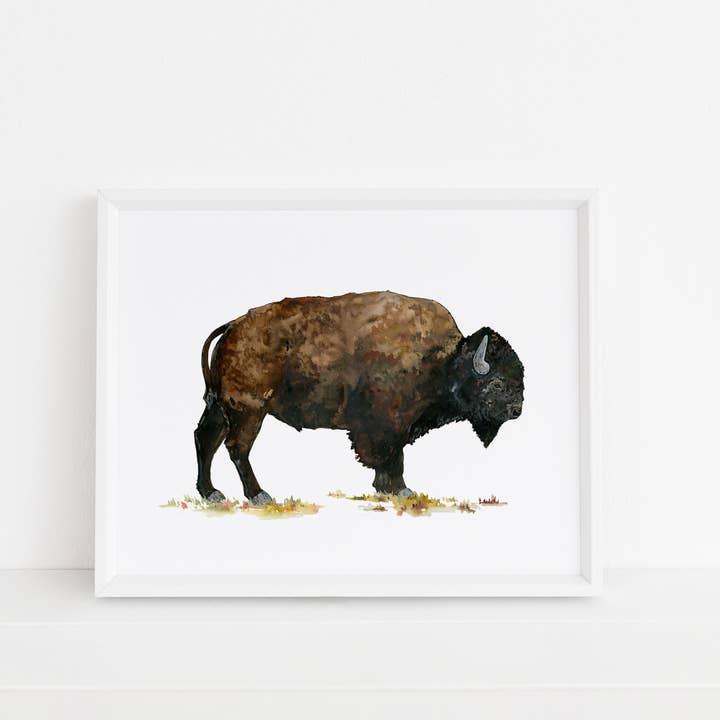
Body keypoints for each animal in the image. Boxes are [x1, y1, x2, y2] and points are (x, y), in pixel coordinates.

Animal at [194, 291, 524, 505]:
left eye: (519, 378)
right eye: (496, 383)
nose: (517, 410)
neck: (443, 361)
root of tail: (233, 326)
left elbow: (393, 457)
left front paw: (386, 488)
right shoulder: (387, 423)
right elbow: (392, 456)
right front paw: (400, 490)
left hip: (223, 408)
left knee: (206, 438)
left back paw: (211, 494)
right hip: (249, 410)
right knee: (237, 447)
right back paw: (259, 495)